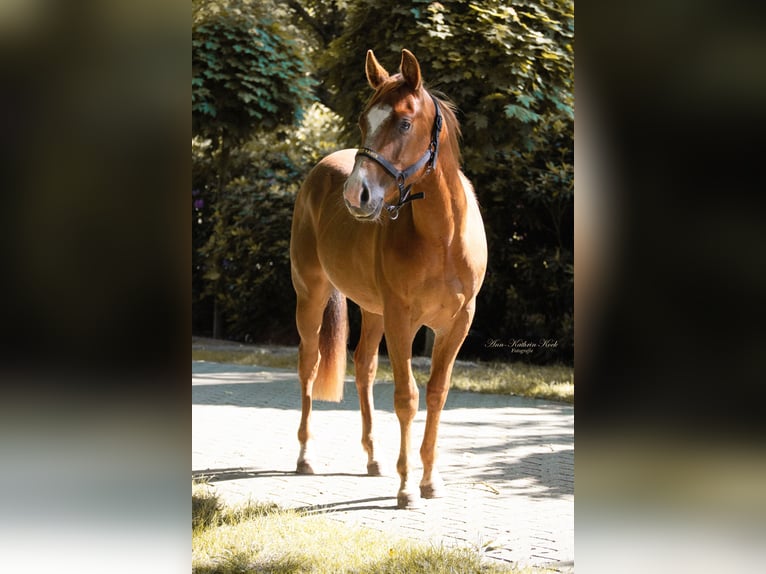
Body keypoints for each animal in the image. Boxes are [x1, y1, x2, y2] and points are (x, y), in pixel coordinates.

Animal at [289, 49, 487, 509]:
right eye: (365, 120)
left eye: (404, 122)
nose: (355, 195)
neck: (443, 236)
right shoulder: (402, 319)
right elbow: (406, 397)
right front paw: (406, 487)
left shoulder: (457, 324)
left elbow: (436, 393)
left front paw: (430, 480)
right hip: (311, 297)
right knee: (309, 365)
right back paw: (306, 456)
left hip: (373, 310)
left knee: (362, 368)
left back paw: (373, 458)